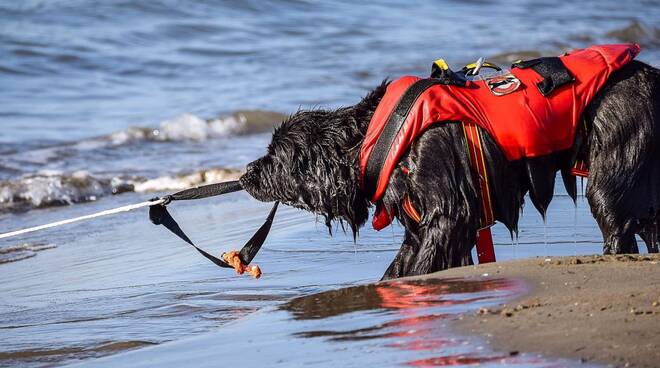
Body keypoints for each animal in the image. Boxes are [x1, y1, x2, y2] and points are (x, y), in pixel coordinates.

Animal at [241, 59, 660, 278]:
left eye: (274, 156)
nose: (245, 174)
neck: (373, 134)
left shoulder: (450, 211)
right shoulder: (418, 220)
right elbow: (404, 262)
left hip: (614, 170)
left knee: (617, 222)